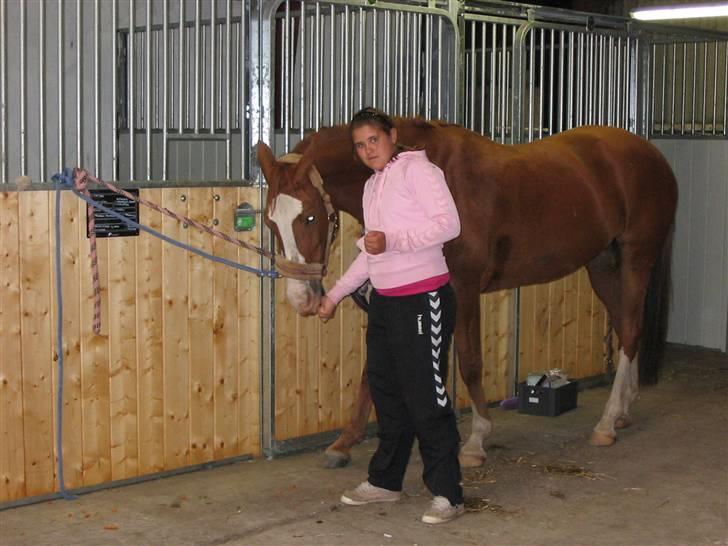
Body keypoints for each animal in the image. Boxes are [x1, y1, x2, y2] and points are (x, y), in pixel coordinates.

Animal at [258, 120, 676, 468]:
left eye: (310, 216)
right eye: (270, 221)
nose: (302, 299)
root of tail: (652, 154)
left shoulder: (464, 286)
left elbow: (470, 362)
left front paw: (476, 440)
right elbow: (375, 369)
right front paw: (344, 442)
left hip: (636, 260)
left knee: (631, 330)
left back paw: (607, 422)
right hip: (602, 265)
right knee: (626, 328)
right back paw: (623, 410)